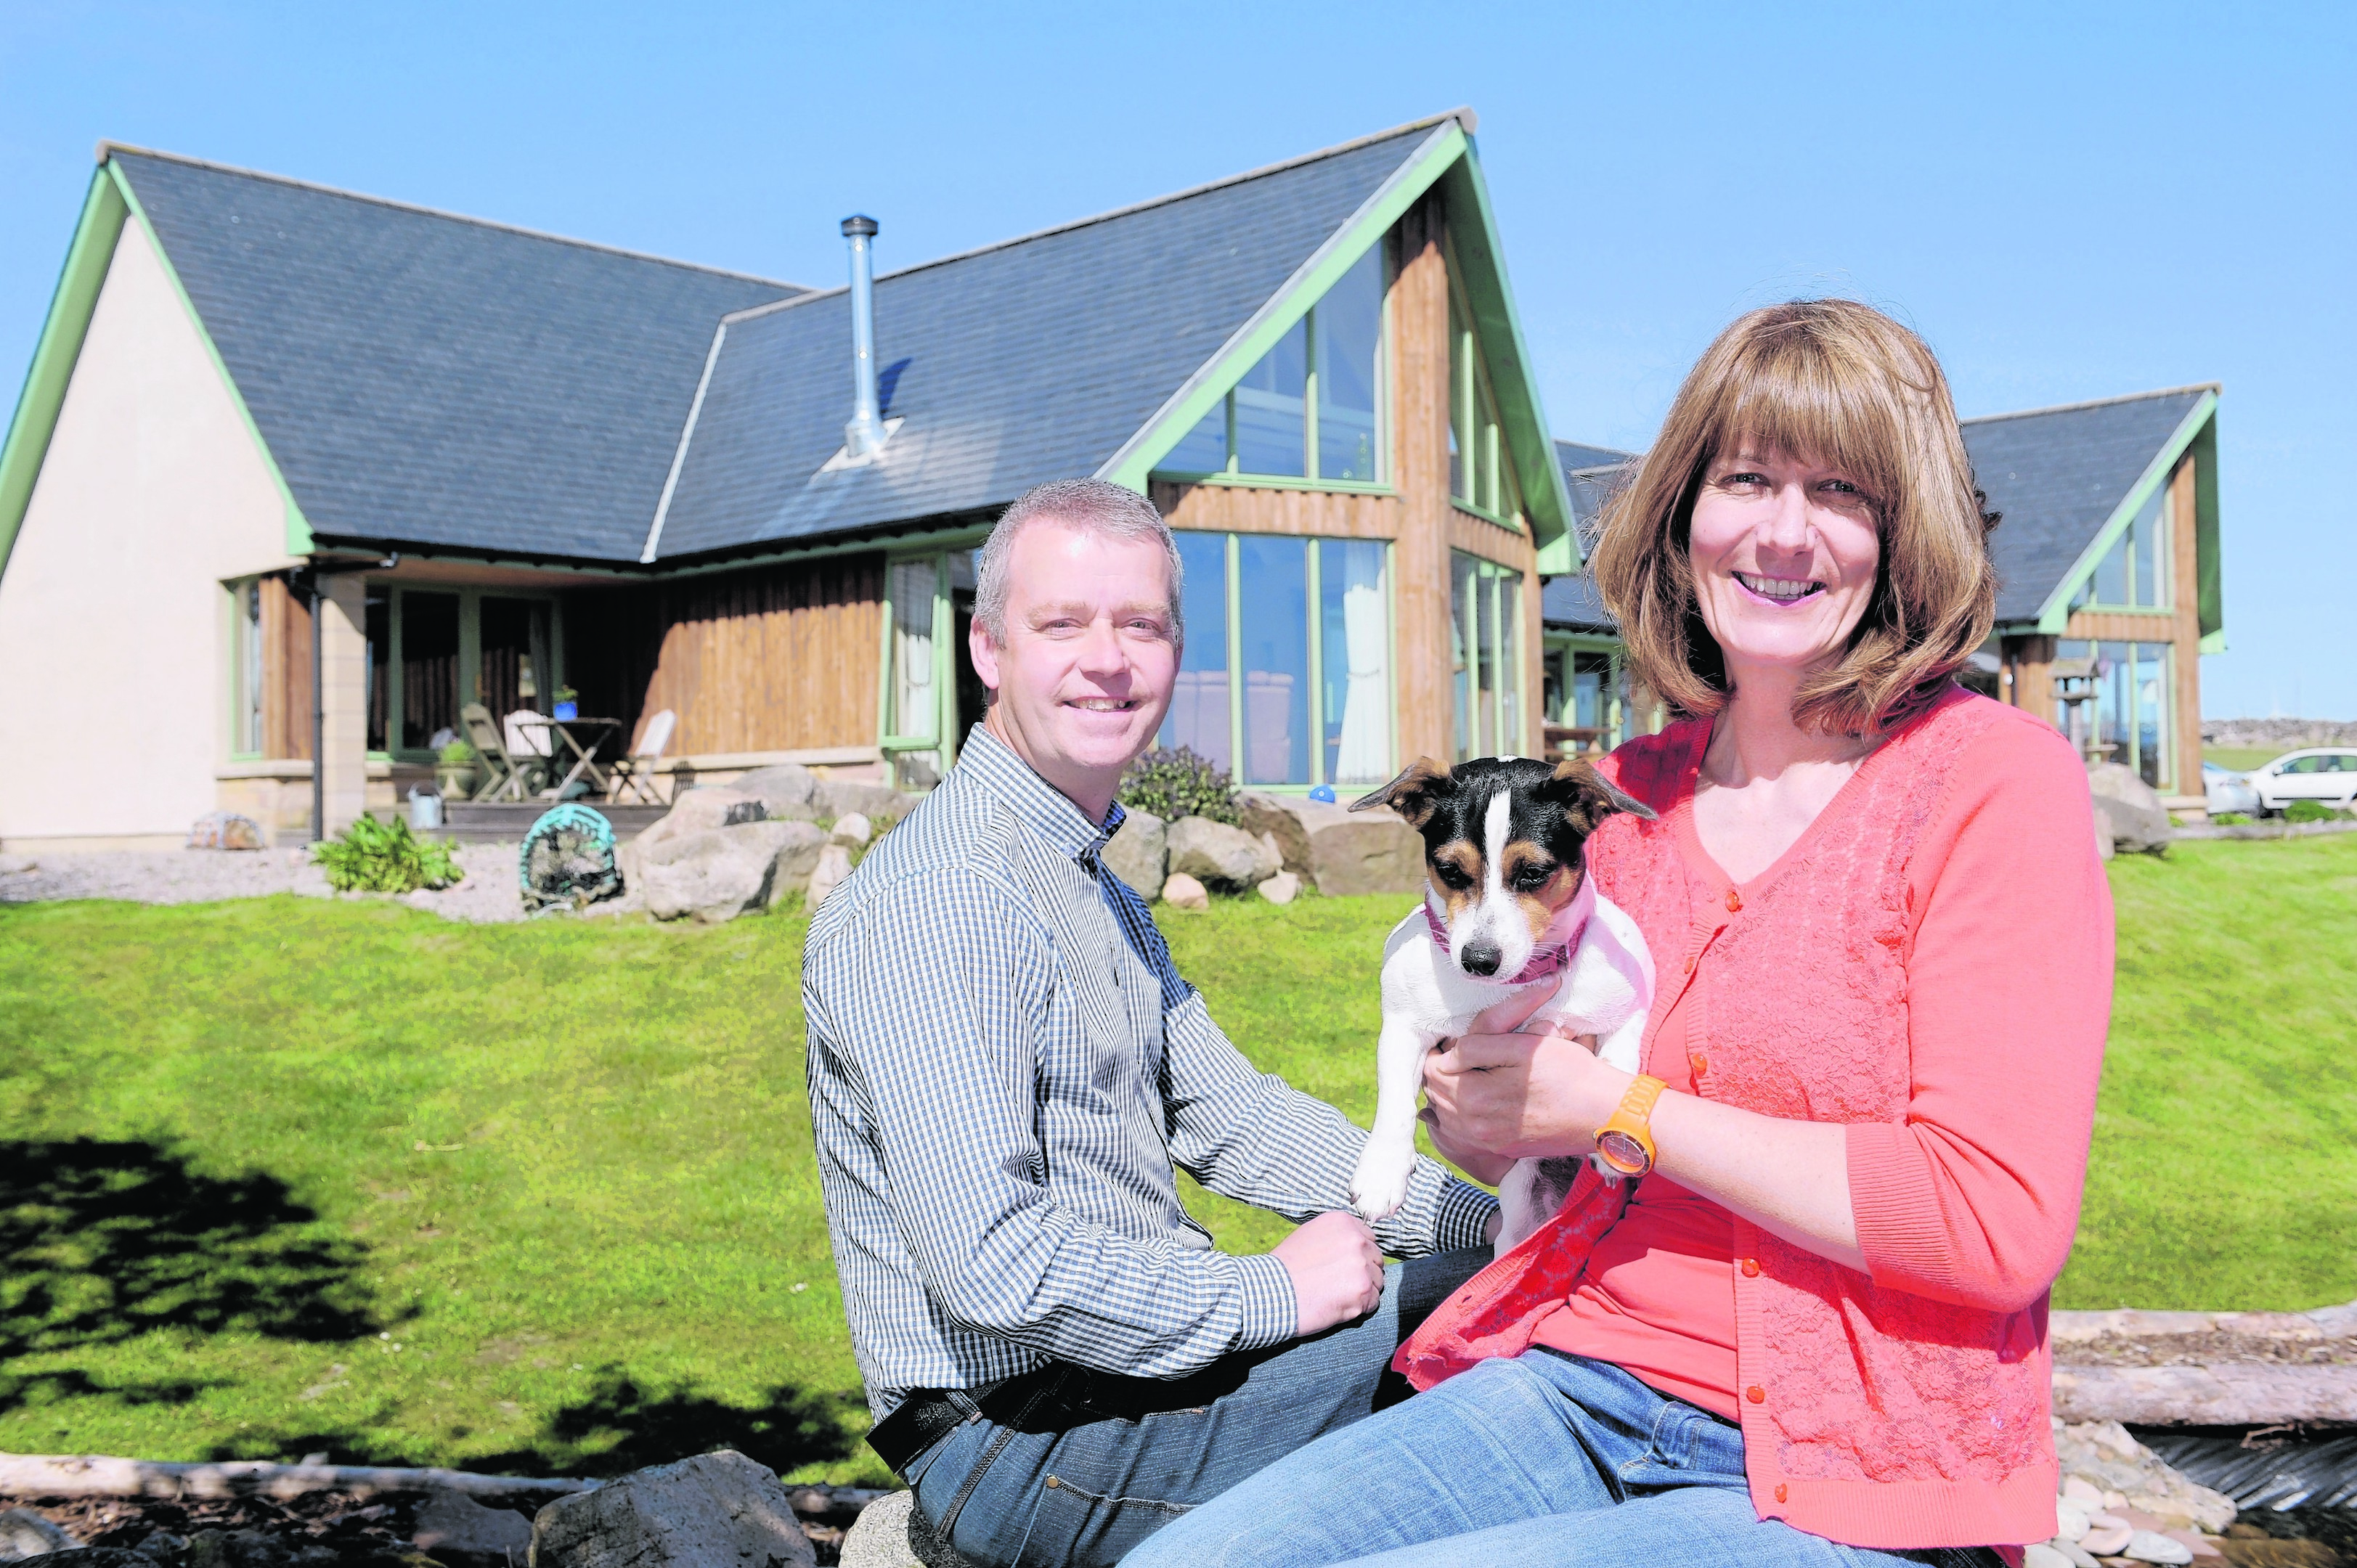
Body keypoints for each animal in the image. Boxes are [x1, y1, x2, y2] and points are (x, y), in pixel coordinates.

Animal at [1348, 754, 1659, 1254]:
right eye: (1451, 870)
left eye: (1533, 873)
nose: (1478, 960)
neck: (1511, 986)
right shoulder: (1402, 1028)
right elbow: (1394, 1099)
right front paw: (1382, 1172)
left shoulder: (1630, 1008)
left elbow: (1620, 1060)